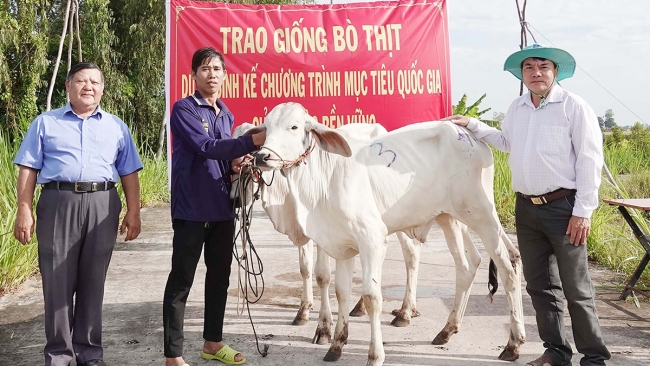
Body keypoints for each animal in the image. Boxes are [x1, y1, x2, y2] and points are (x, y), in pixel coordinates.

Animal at [242, 103, 520, 366]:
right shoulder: (341, 244)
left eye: (294, 127)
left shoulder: (372, 239)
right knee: (467, 265)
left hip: (483, 216)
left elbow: (372, 296)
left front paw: (374, 355)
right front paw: (336, 344)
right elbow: (341, 291)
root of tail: (470, 135)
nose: (262, 156)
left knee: (509, 268)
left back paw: (513, 343)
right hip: (448, 217)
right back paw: (447, 330)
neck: (324, 179)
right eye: (266, 127)